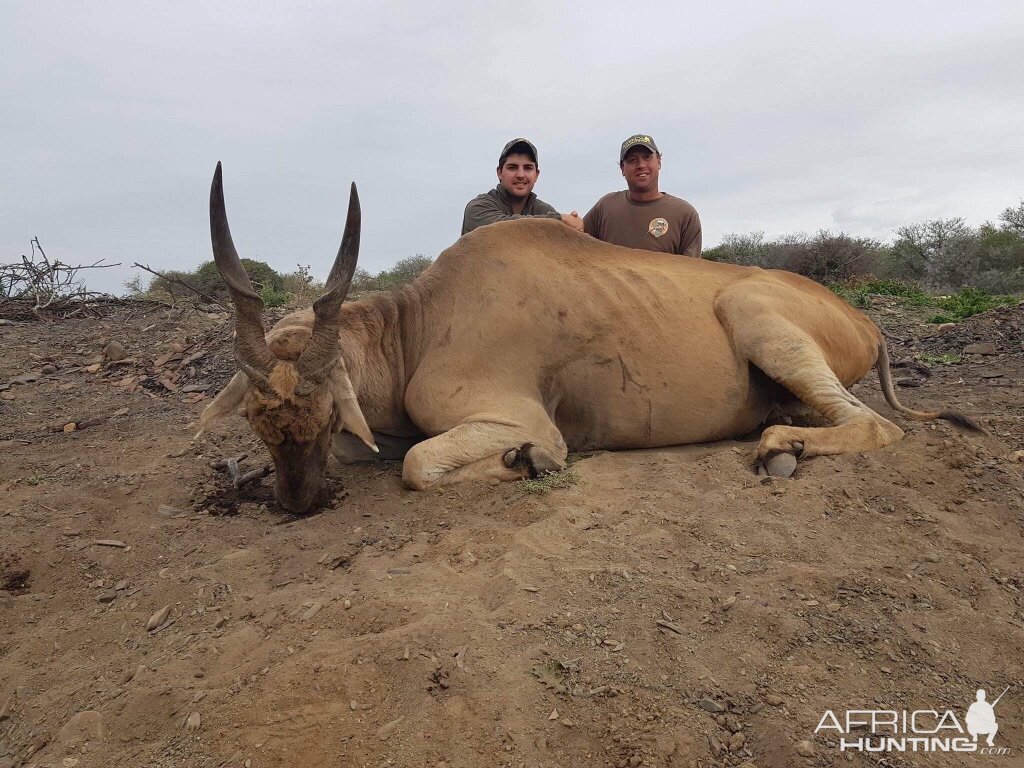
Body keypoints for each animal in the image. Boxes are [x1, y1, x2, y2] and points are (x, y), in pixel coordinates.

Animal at [197, 166, 974, 518]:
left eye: (328, 412)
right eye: (257, 422)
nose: (296, 502)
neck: (418, 324)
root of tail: (867, 321)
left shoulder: (515, 416)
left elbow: (418, 463)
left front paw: (528, 463)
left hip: (754, 312)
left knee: (876, 426)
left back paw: (781, 450)